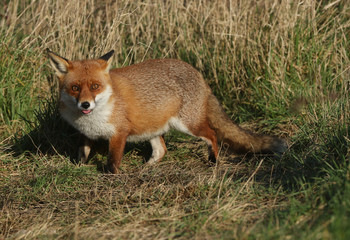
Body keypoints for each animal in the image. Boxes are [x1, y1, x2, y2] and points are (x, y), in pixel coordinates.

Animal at [47, 49, 288, 172]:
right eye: (75, 88)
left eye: (95, 86)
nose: (85, 105)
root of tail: (198, 74)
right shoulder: (85, 134)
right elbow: (83, 153)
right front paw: (78, 167)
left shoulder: (119, 133)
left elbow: (113, 160)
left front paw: (111, 176)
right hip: (153, 129)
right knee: (161, 150)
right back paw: (148, 167)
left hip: (189, 125)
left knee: (212, 135)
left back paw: (213, 161)